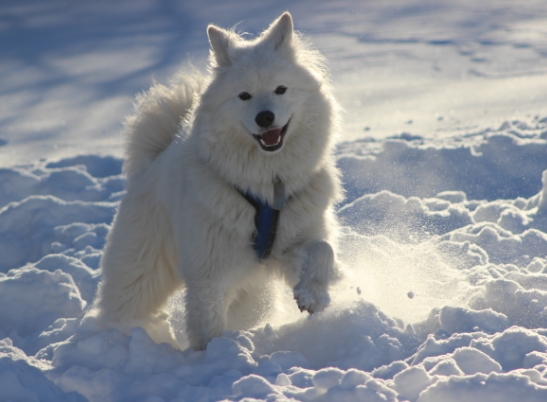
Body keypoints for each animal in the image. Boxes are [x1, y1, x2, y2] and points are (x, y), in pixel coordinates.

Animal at [94, 12, 342, 350]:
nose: (265, 117)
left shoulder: (291, 241)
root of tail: (150, 165)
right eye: (244, 96)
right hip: (142, 273)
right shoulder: (209, 273)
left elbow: (323, 250)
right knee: (124, 306)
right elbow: (207, 324)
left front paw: (312, 296)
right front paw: (214, 354)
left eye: (281, 89)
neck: (269, 185)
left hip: (252, 296)